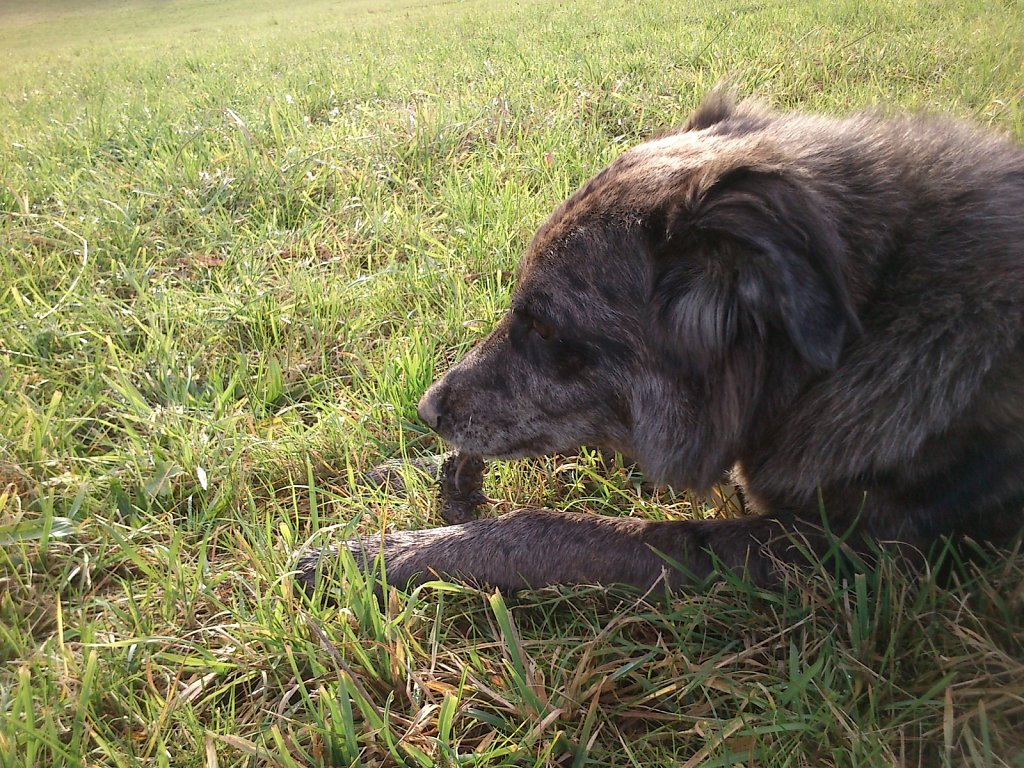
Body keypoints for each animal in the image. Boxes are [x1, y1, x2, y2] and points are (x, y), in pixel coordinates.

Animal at [292, 90, 1019, 593]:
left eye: (547, 327)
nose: (427, 411)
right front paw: (391, 473)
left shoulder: (823, 551)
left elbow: (551, 528)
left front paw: (378, 553)